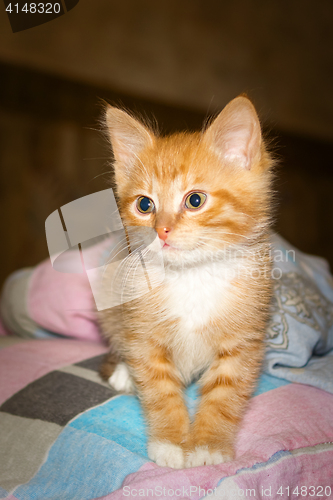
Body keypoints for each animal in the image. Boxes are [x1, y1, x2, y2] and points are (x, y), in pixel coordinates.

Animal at [100, 96, 274, 468]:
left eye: (195, 200)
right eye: (144, 204)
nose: (161, 230)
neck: (192, 274)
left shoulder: (245, 339)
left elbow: (225, 395)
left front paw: (208, 446)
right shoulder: (144, 333)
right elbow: (159, 389)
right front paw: (170, 443)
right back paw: (123, 372)